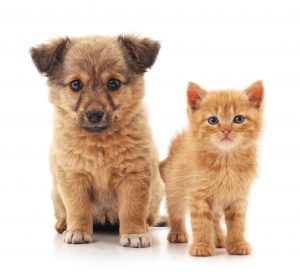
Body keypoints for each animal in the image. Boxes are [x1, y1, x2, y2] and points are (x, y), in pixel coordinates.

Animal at [29, 34, 164, 248]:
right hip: (56, 194)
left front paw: (134, 233)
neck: (99, 142)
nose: (94, 114)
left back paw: (145, 226)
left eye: (113, 83)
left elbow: (132, 209)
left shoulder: (133, 176)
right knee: (64, 212)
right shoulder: (73, 176)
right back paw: (63, 224)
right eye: (76, 84)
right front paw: (78, 231)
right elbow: (78, 208)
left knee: (149, 217)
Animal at [161, 81, 264, 258]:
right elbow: (201, 221)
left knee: (214, 219)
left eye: (238, 119)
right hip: (174, 186)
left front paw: (237, 243)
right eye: (213, 120)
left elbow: (237, 223)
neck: (225, 161)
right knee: (175, 209)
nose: (226, 130)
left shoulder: (237, 195)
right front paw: (202, 245)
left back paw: (219, 238)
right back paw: (177, 233)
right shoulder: (198, 194)